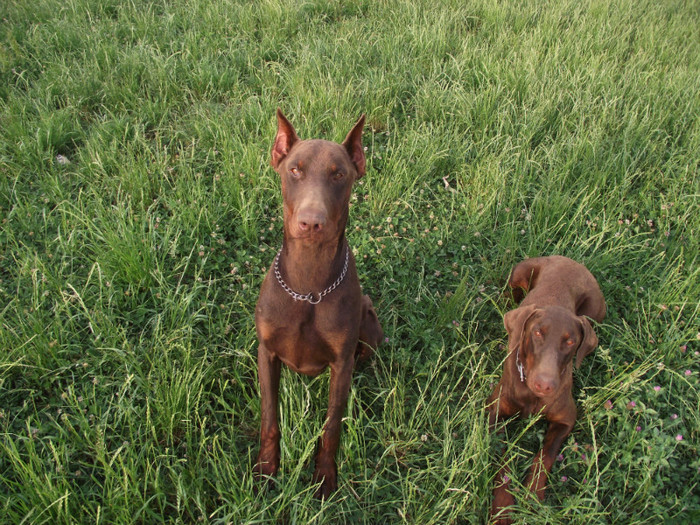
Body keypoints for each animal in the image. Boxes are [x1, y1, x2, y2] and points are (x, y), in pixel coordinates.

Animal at [253, 109, 382, 496]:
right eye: (295, 170)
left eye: (339, 174)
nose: (312, 223)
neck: (309, 289)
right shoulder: (266, 352)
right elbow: (270, 416)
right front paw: (267, 470)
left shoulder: (340, 364)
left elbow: (332, 426)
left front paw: (325, 478)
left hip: (369, 322)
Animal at [486, 256, 608, 520]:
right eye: (537, 332)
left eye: (570, 341)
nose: (545, 384)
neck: (532, 396)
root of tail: (570, 260)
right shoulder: (495, 412)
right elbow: (503, 459)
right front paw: (502, 509)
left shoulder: (566, 419)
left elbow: (546, 455)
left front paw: (532, 496)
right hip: (519, 273)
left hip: (595, 311)